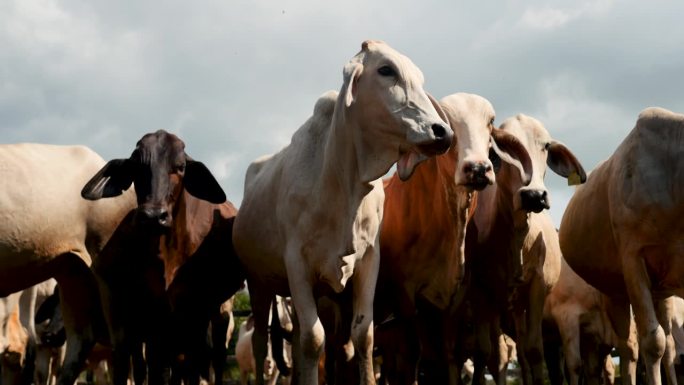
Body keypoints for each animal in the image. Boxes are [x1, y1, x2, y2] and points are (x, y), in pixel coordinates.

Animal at [81, 128, 246, 384]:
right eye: (136, 166)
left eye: (180, 166)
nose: (153, 216)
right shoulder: (150, 322)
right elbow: (153, 368)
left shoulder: (193, 316)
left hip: (220, 312)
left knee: (215, 357)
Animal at [232, 39, 456, 384]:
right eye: (386, 70)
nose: (442, 132)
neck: (344, 182)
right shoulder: (297, 264)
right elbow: (315, 339)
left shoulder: (367, 261)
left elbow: (362, 335)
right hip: (258, 283)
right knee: (259, 342)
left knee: (296, 338)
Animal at [374, 91, 536, 382]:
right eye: (446, 122)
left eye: (490, 122)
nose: (478, 169)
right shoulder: (406, 297)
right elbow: (414, 355)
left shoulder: (454, 300)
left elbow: (449, 357)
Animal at [560, 106, 684, 384]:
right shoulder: (633, 259)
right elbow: (653, 342)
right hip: (614, 291)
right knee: (629, 348)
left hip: (662, 292)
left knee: (668, 344)